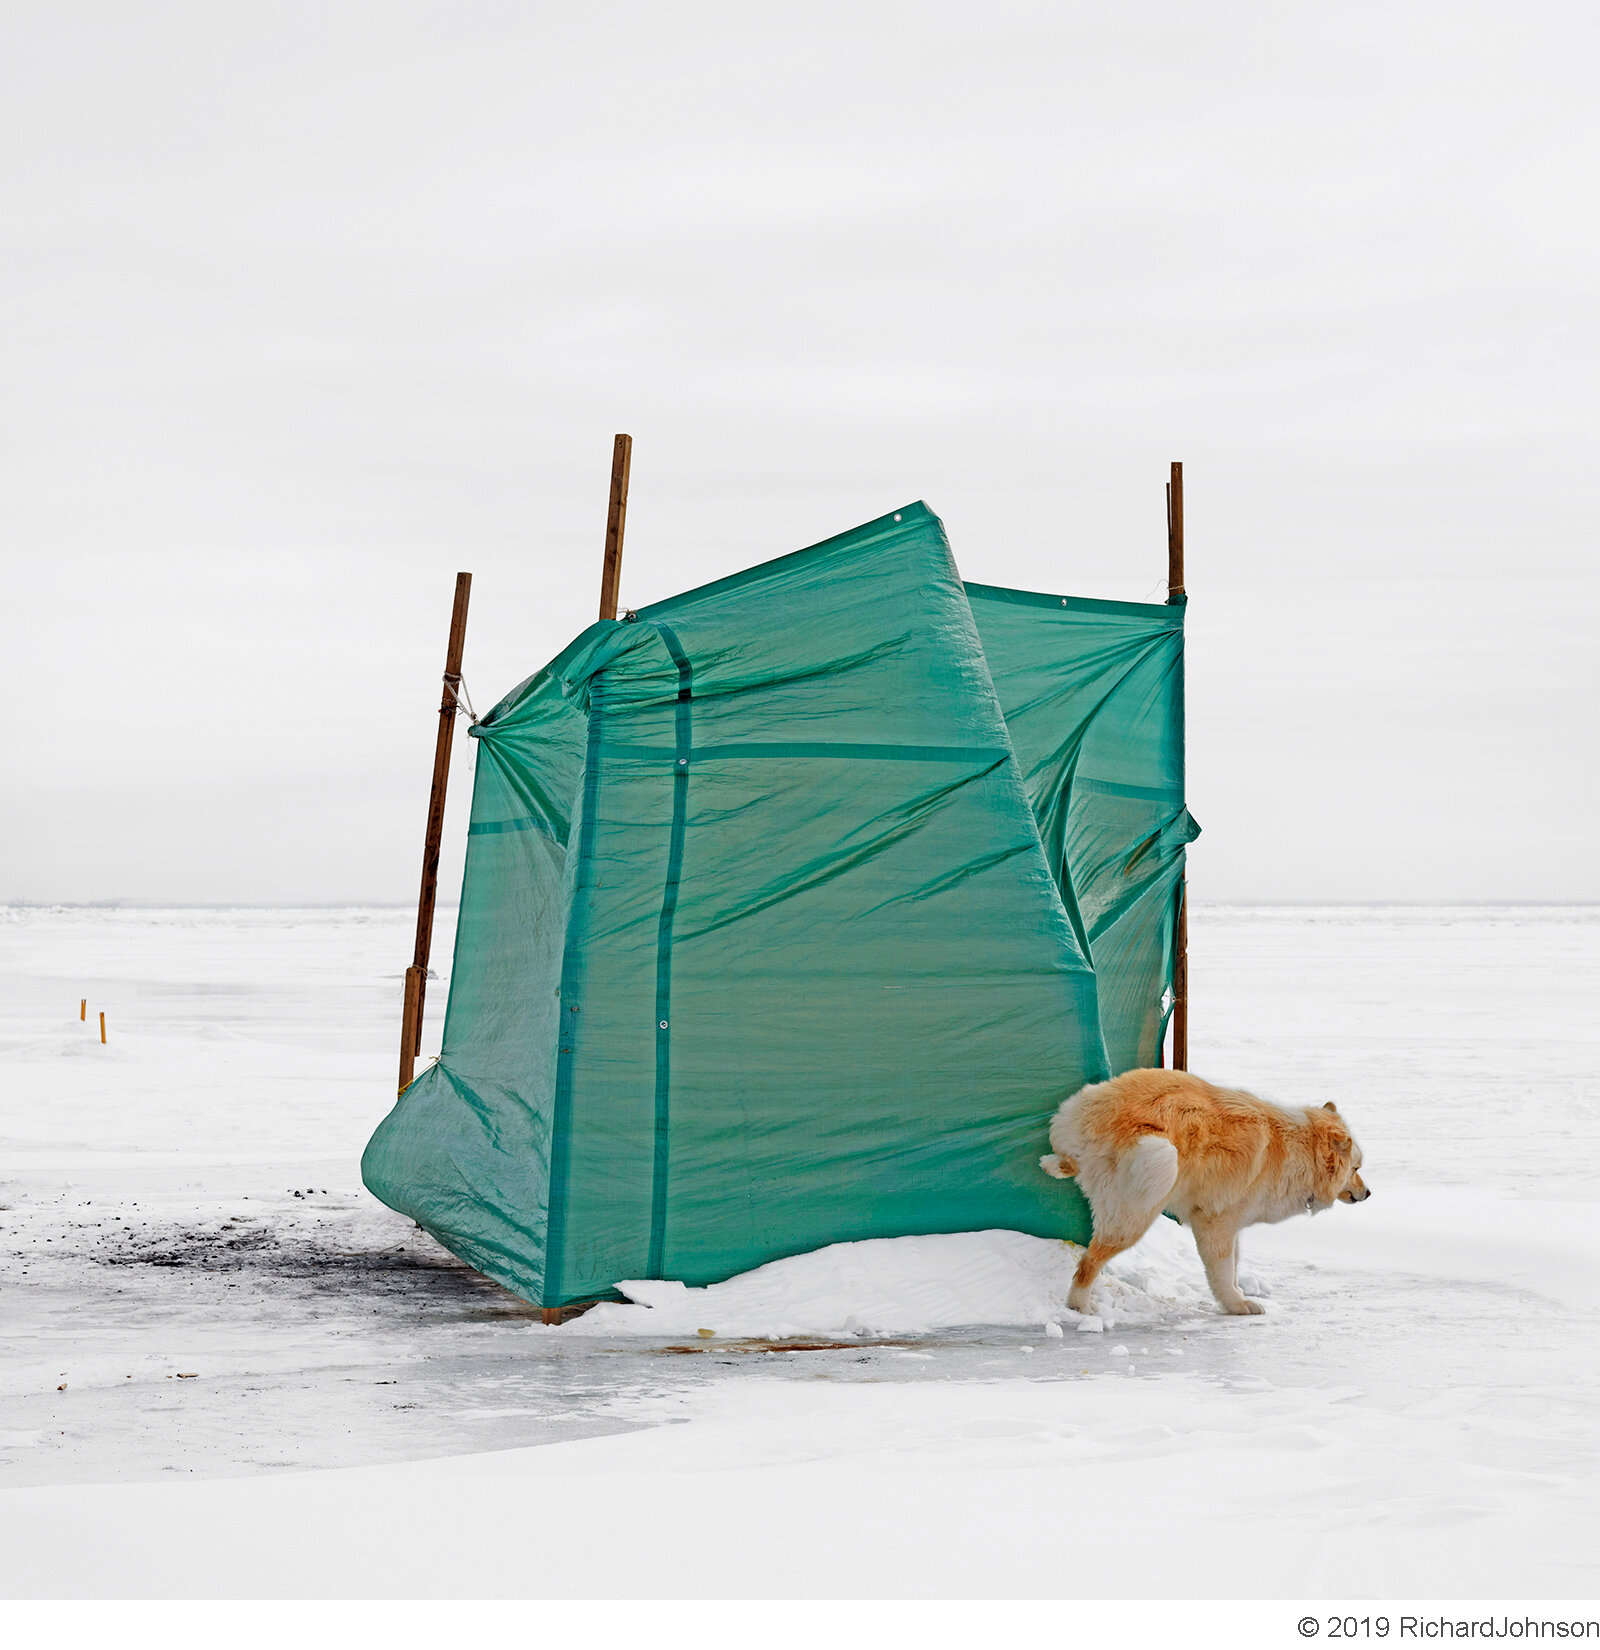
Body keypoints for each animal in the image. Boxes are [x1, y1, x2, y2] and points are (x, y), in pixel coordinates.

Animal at [1042, 1069, 1365, 1313]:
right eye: (1356, 1169)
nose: (1369, 1193)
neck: (1298, 1148)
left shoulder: (1233, 1224)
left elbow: (1233, 1265)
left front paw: (1238, 1297)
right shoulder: (1216, 1222)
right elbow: (1222, 1268)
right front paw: (1237, 1305)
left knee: (1068, 1163)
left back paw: (1052, 1165)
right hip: (1143, 1195)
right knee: (1089, 1263)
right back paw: (1080, 1306)